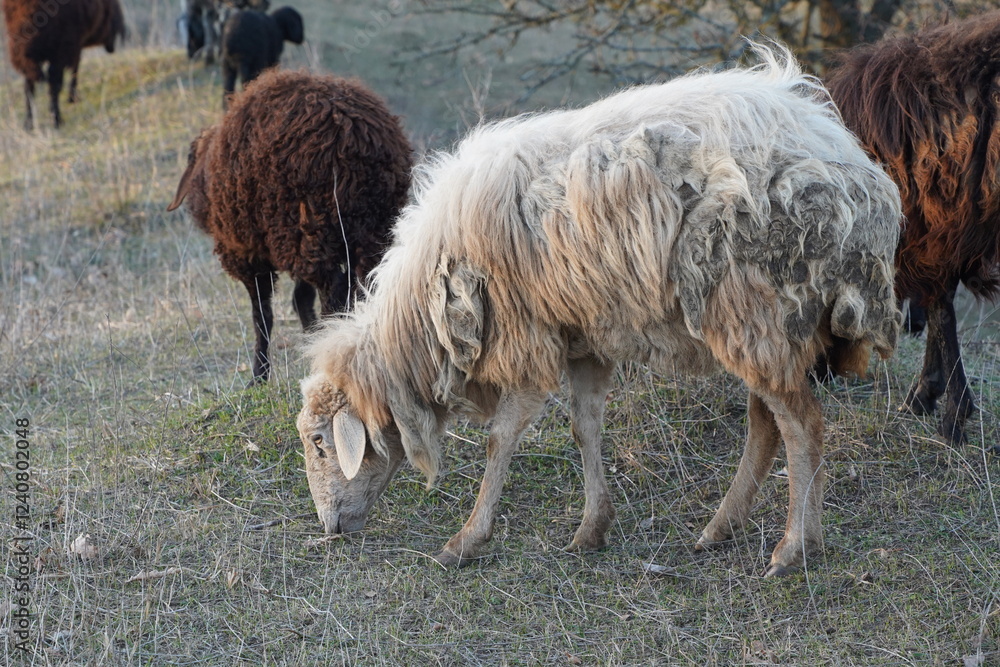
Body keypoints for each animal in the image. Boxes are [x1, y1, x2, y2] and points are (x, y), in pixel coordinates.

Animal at [3, 0, 126, 129]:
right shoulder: (67, 47)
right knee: (51, 84)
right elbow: (70, 72)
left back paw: (30, 122)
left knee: (30, 87)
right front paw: (70, 99)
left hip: (24, 51)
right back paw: (56, 119)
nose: (112, 47)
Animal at [167, 69, 413, 384]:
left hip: (312, 228)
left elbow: (262, 315)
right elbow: (300, 297)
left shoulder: (250, 254)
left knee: (335, 292)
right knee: (361, 286)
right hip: (361, 233)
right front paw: (309, 341)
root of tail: (357, 137)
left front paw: (259, 375)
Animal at [296, 45, 903, 577]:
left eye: (320, 442)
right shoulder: (583, 334)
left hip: (756, 303)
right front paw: (592, 528)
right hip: (766, 319)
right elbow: (584, 427)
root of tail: (858, 170)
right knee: (766, 422)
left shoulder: (527, 337)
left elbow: (501, 437)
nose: (329, 528)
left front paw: (466, 540)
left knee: (801, 424)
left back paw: (794, 548)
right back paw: (721, 528)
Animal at [826, 13, 1000, 446]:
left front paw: (950, 413)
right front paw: (930, 395)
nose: (818, 376)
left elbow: (941, 309)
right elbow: (941, 305)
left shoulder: (931, 227)